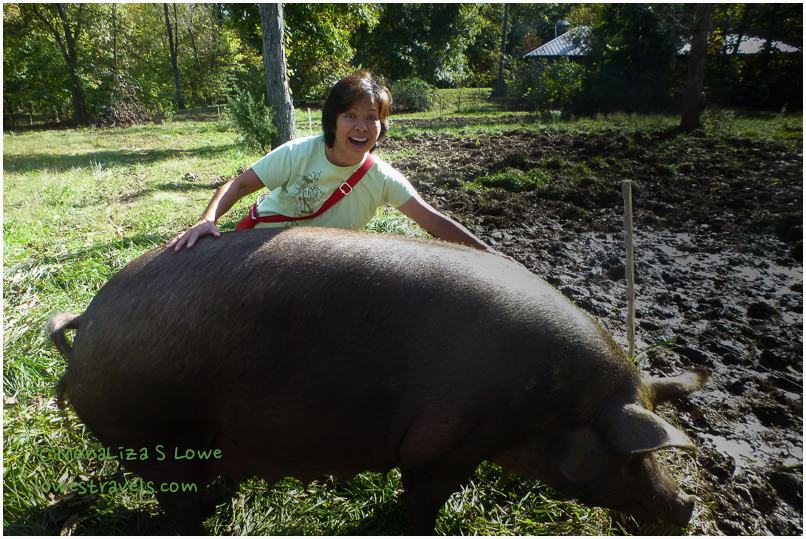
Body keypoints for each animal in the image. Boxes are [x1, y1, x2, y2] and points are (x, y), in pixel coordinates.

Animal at [47, 227, 706, 534]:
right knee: (177, 506)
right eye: (632, 456)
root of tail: (90, 318)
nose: (687, 505)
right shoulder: (448, 443)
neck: (548, 411)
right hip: (152, 434)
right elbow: (424, 498)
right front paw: (419, 528)